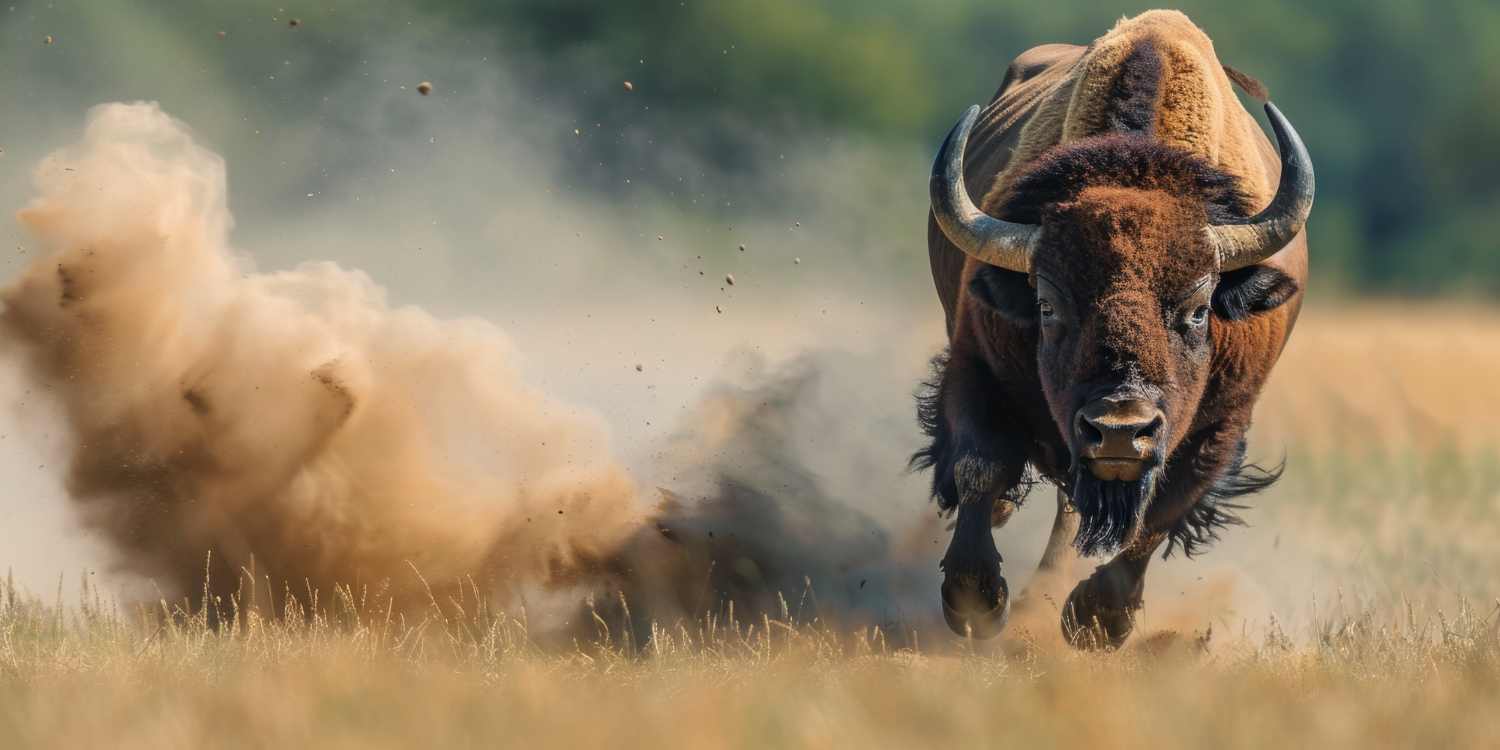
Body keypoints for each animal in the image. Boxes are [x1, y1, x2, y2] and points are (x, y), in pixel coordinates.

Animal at [916, 10, 1312, 646]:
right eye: (1047, 306)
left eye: (1198, 309)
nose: (1121, 429)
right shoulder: (975, 365)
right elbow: (980, 466)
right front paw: (974, 602)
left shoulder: (1221, 424)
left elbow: (1160, 514)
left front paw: (1095, 620)